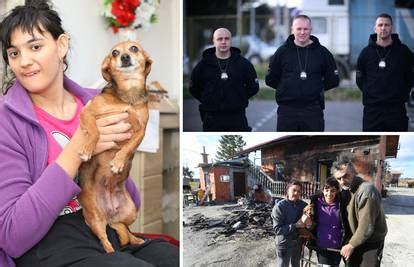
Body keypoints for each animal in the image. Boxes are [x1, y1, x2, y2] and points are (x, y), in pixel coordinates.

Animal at [77, 40, 152, 254]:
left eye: (134, 48)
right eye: (115, 53)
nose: (124, 57)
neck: (127, 97)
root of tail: (109, 213)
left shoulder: (141, 131)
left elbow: (128, 147)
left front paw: (118, 162)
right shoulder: (88, 113)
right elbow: (94, 131)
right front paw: (87, 150)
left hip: (131, 212)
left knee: (122, 227)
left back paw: (137, 240)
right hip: (94, 218)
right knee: (105, 238)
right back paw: (111, 251)